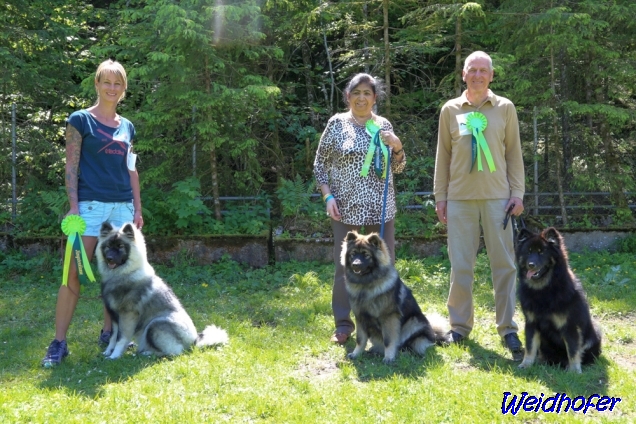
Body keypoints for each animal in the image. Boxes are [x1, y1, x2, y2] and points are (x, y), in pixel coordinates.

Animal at [97, 222, 229, 358]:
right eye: (108, 246)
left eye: (121, 246)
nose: (109, 258)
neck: (124, 273)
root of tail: (194, 341)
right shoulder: (114, 316)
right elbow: (113, 337)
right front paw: (108, 352)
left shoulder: (127, 315)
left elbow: (120, 339)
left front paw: (114, 356)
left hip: (155, 324)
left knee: (174, 352)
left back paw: (147, 353)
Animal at [342, 230, 448, 362]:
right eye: (353, 254)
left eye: (366, 255)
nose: (356, 264)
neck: (365, 285)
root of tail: (433, 335)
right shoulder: (360, 317)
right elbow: (360, 340)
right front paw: (356, 354)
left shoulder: (389, 317)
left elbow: (389, 340)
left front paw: (389, 357)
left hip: (414, 322)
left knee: (412, 345)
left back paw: (403, 353)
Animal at [516, 227, 600, 372]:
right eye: (528, 251)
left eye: (542, 252)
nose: (531, 264)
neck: (543, 290)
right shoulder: (531, 323)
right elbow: (530, 347)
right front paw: (526, 364)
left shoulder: (570, 325)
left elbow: (573, 350)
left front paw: (574, 372)